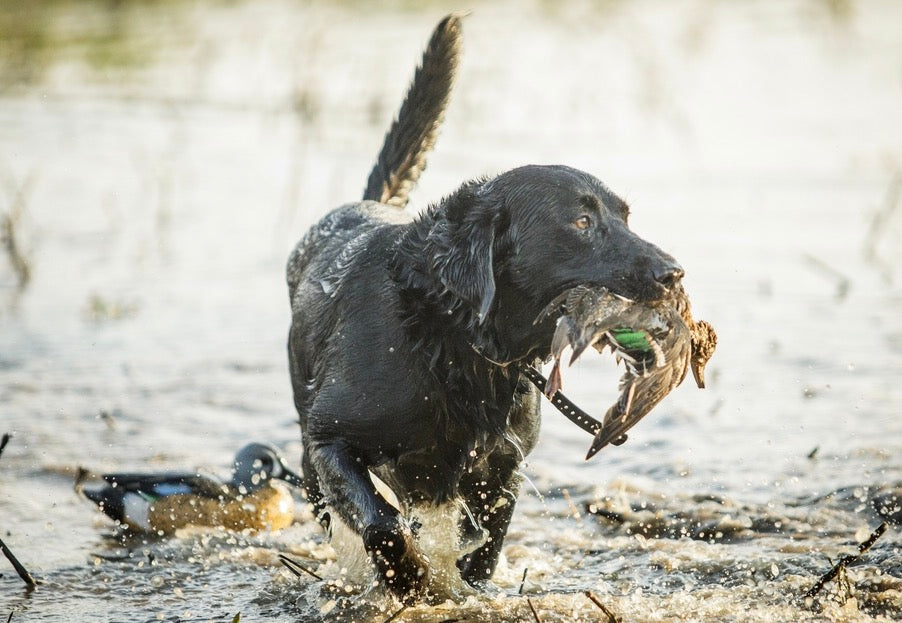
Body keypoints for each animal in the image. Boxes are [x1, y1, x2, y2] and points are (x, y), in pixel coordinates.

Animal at [286, 13, 680, 600]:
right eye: (582, 222)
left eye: (626, 218)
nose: (674, 274)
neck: (452, 338)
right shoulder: (331, 440)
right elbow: (380, 520)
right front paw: (409, 578)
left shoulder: (501, 468)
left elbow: (488, 542)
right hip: (308, 443)